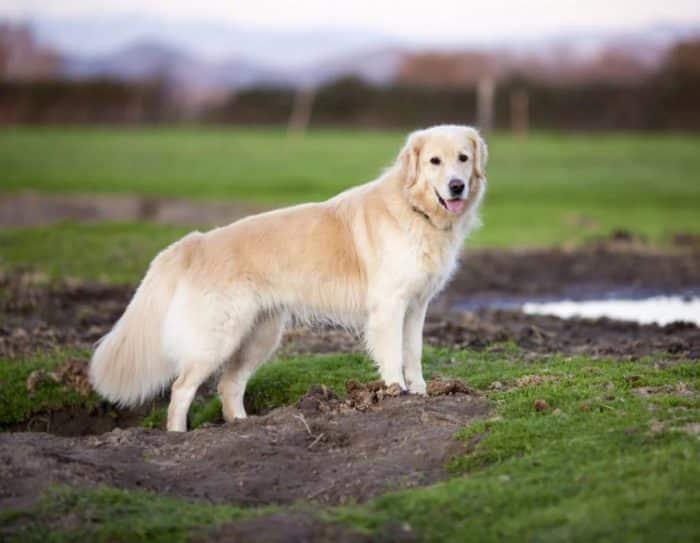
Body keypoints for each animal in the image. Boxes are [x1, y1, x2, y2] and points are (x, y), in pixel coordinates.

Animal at [89, 125, 486, 432]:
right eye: (434, 161)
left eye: (463, 158)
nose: (456, 186)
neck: (414, 209)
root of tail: (196, 242)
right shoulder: (389, 308)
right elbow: (392, 356)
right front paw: (396, 394)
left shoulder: (417, 307)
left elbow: (413, 352)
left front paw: (418, 392)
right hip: (218, 338)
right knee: (182, 389)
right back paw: (177, 436)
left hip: (259, 336)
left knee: (229, 385)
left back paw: (242, 427)